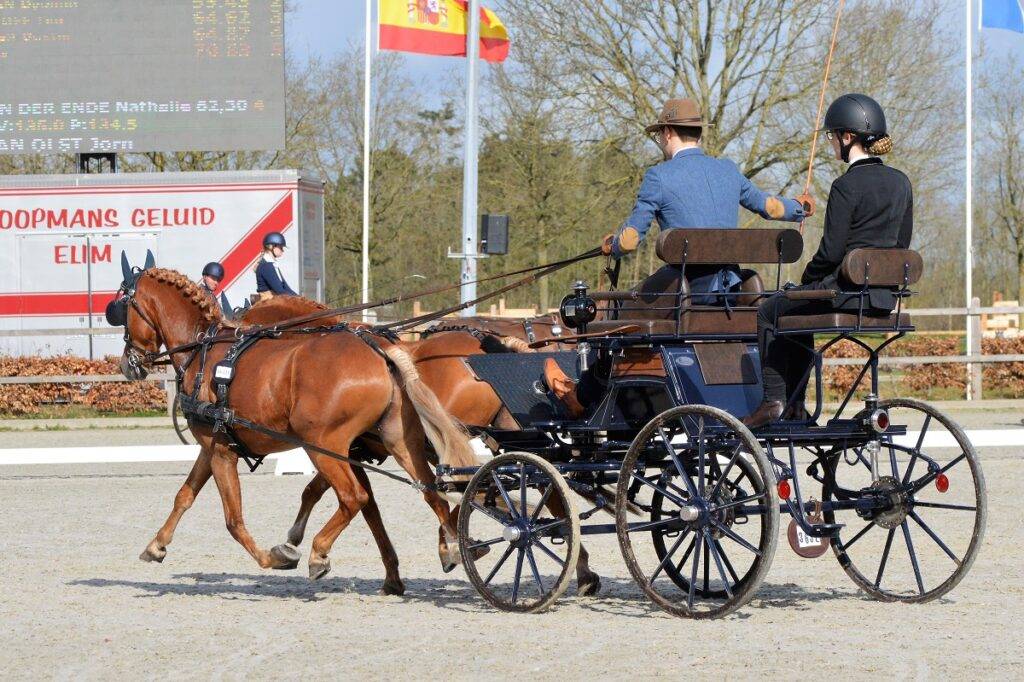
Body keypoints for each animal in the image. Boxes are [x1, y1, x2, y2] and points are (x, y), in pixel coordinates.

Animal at [115, 263, 479, 593]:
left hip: (324, 446)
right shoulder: (213, 447)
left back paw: (319, 553)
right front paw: (156, 545)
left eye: (124, 307)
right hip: (398, 441)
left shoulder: (221, 452)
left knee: (353, 497)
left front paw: (275, 556)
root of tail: (380, 351)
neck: (204, 352)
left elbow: (234, 520)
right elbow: (184, 495)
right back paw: (454, 546)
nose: (127, 363)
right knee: (431, 491)